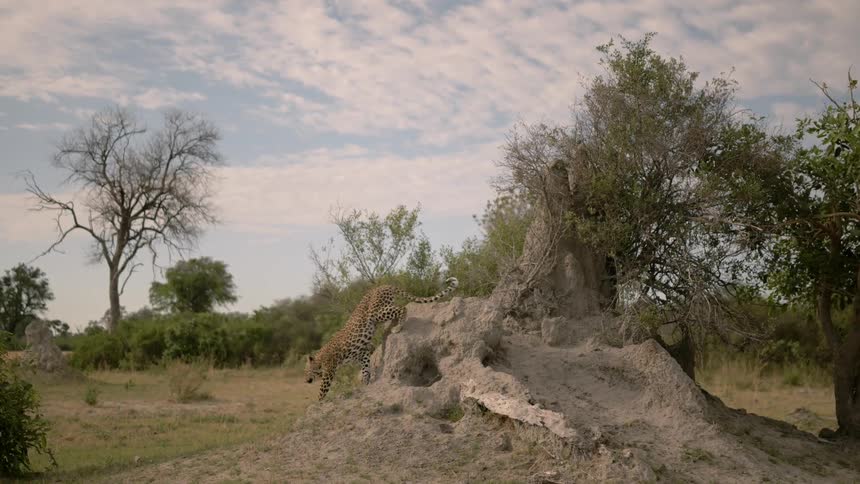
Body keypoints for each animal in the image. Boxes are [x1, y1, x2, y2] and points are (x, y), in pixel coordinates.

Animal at [304, 276, 459, 400]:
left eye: (307, 371)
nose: (306, 380)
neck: (320, 358)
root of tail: (384, 285)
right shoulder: (363, 354)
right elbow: (365, 369)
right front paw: (366, 383)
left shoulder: (329, 372)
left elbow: (323, 390)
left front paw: (318, 403)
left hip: (377, 313)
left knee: (402, 308)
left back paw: (398, 327)